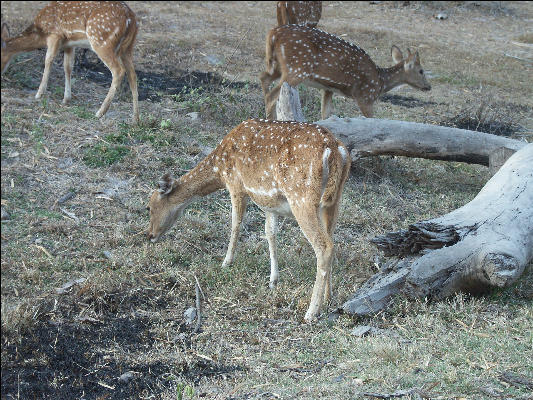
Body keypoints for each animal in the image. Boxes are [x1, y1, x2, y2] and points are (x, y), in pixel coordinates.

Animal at [0, 1, 139, 123]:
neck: (40, 33)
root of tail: (131, 19)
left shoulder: (55, 34)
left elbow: (48, 60)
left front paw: (39, 94)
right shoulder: (68, 44)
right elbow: (68, 67)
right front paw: (66, 99)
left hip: (101, 41)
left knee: (119, 70)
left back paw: (100, 112)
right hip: (127, 48)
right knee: (132, 75)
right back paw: (135, 118)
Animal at [148, 118, 352, 322]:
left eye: (149, 207)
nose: (149, 235)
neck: (219, 167)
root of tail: (335, 149)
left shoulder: (236, 185)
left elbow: (235, 224)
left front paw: (226, 262)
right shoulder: (269, 203)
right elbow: (270, 233)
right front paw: (273, 280)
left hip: (302, 197)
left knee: (324, 246)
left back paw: (311, 312)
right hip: (334, 200)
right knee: (331, 240)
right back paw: (328, 297)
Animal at [260, 24, 430, 119]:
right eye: (421, 71)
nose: (428, 86)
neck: (380, 82)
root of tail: (272, 33)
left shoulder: (328, 88)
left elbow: (326, 114)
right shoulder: (365, 96)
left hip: (276, 66)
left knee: (263, 78)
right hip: (297, 68)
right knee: (272, 95)